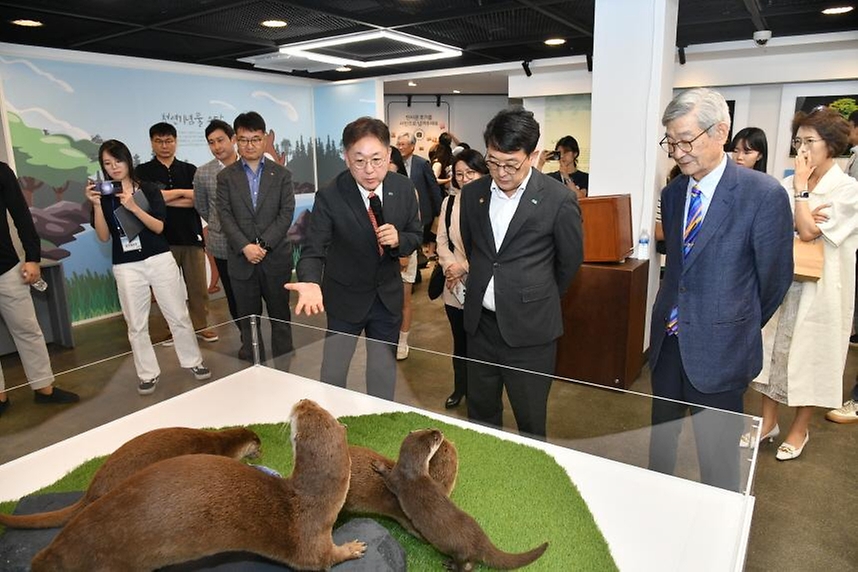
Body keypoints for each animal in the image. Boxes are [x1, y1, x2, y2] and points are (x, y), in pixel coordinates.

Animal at [29, 400, 364, 568]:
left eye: (316, 409)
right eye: (301, 412)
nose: (303, 399)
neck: (307, 502)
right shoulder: (309, 541)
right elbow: (322, 560)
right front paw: (353, 547)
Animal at [374, 426, 548, 568]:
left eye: (435, 436)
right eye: (431, 432)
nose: (440, 431)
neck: (413, 474)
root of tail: (481, 541)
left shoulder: (396, 480)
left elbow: (388, 478)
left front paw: (379, 466)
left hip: (460, 552)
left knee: (468, 565)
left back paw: (451, 565)